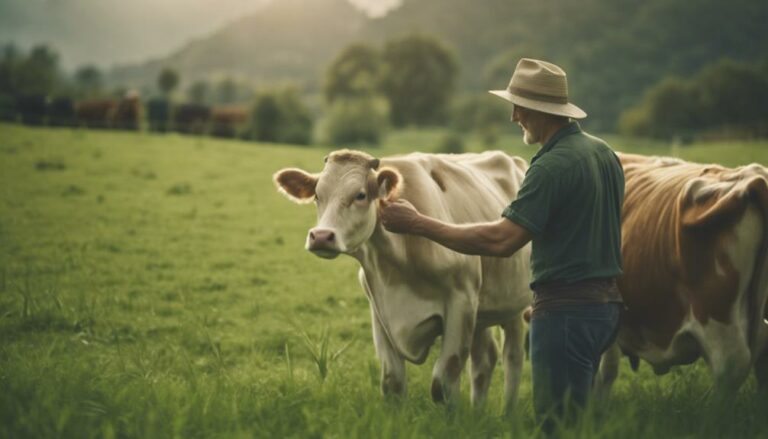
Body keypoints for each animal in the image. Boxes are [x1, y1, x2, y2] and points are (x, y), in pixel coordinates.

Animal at [276, 149, 536, 410]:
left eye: (360, 195)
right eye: (317, 195)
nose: (321, 236)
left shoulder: (461, 302)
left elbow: (443, 382)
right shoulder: (379, 308)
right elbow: (392, 382)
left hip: (513, 306)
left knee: (512, 357)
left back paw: (508, 412)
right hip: (482, 313)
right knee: (484, 360)